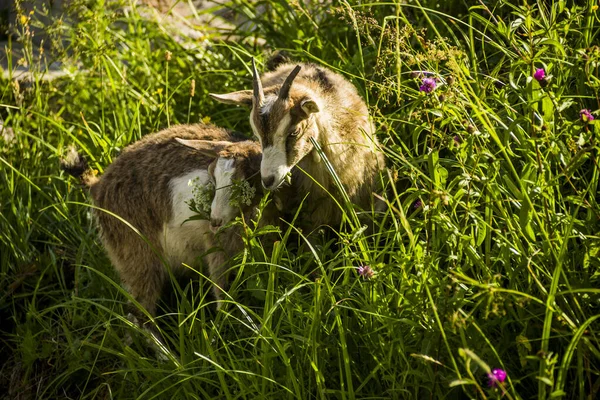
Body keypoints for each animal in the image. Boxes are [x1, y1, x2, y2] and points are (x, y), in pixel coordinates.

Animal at [60, 123, 262, 318]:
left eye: (246, 181)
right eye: (212, 176)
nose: (215, 221)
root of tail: (98, 188)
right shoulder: (218, 246)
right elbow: (222, 288)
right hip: (137, 253)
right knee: (140, 306)